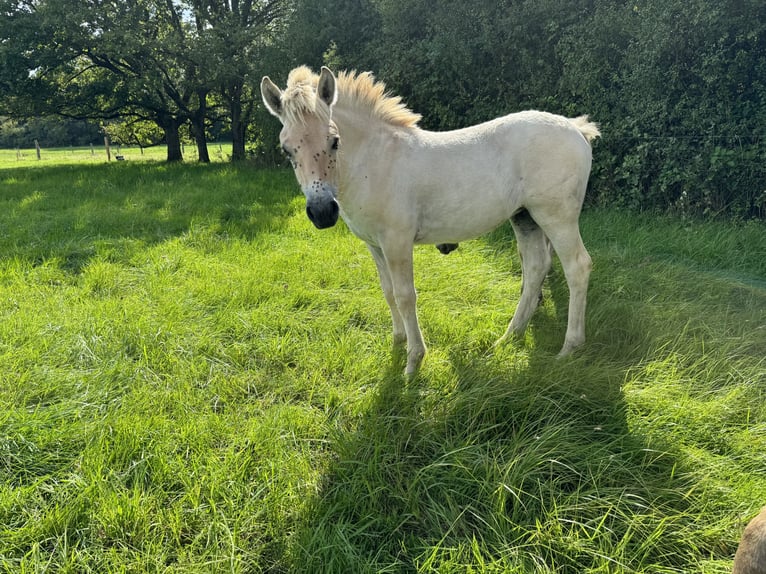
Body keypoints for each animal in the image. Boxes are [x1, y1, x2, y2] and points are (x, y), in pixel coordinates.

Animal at [260, 66, 604, 378]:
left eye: (334, 141)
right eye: (286, 149)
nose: (322, 212)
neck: (376, 161)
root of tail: (576, 128)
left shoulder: (397, 242)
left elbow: (405, 295)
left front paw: (413, 362)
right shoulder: (374, 245)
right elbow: (387, 291)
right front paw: (397, 341)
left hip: (555, 217)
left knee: (577, 266)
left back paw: (569, 347)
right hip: (525, 218)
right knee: (535, 269)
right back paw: (509, 338)